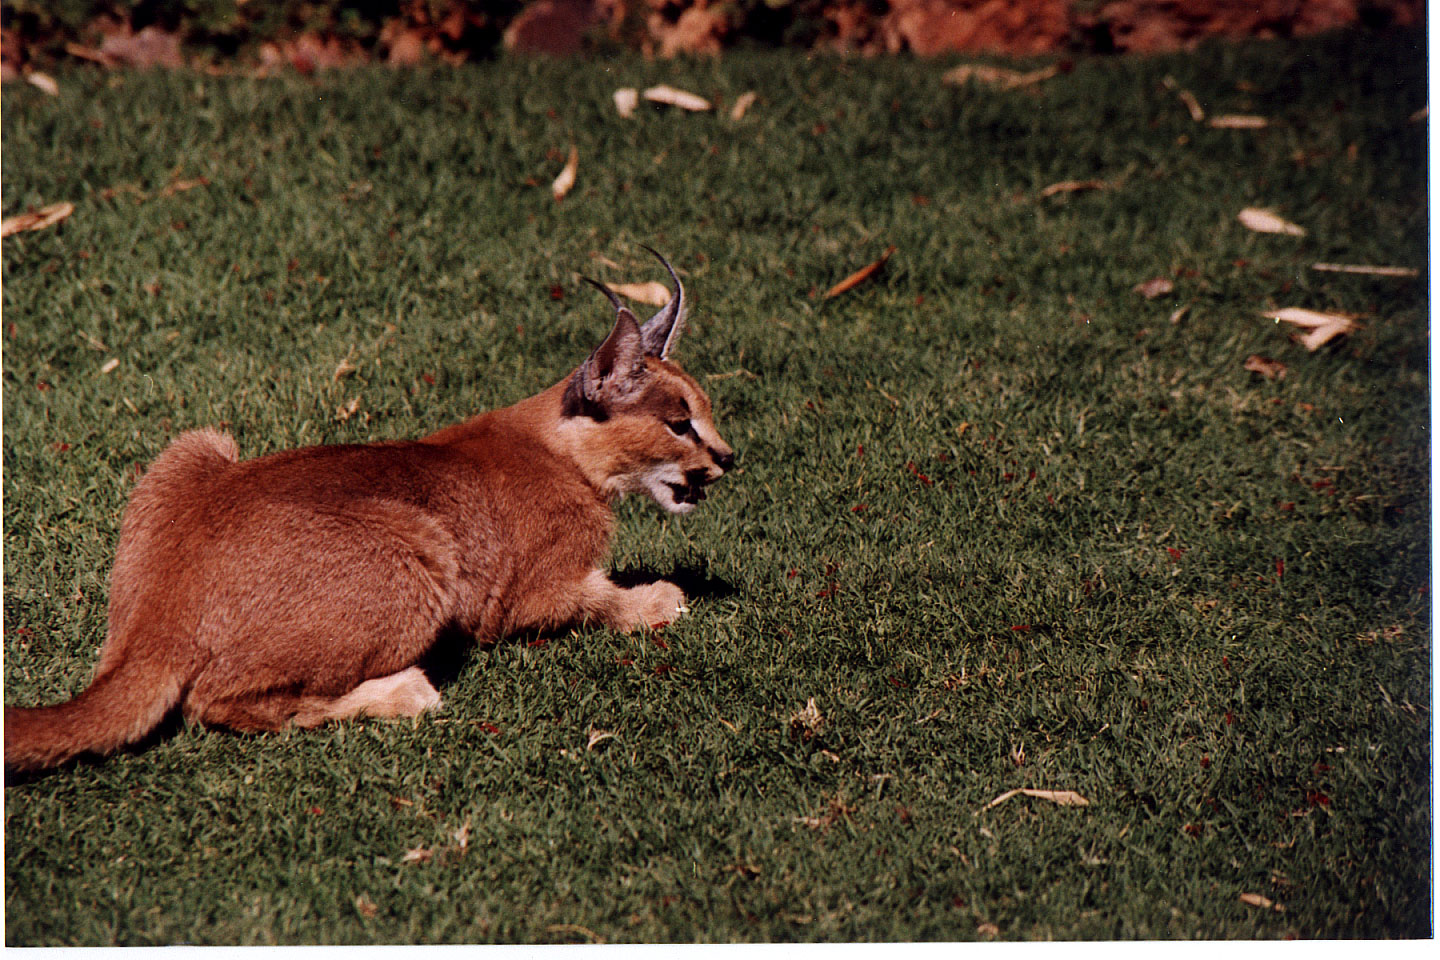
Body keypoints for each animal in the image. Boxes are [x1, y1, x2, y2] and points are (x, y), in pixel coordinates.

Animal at [5, 247, 731, 771]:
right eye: (679, 424)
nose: (730, 457)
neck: (561, 445)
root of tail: (160, 613)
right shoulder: (519, 597)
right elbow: (597, 597)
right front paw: (656, 599)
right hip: (421, 548)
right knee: (217, 702)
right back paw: (404, 690)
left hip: (201, 442)